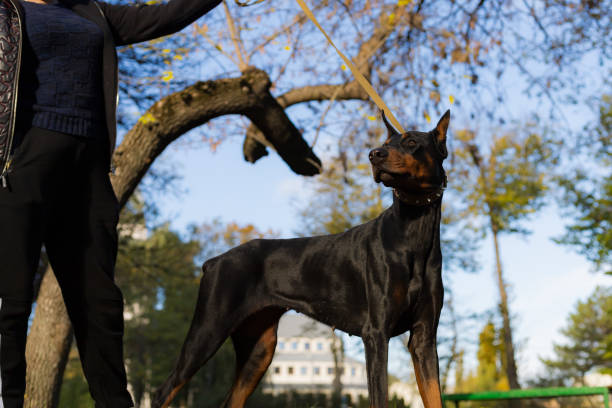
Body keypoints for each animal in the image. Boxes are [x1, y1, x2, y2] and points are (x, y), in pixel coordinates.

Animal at [153, 111, 450, 408]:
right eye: (386, 142)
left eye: (411, 142)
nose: (374, 154)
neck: (413, 231)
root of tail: (213, 261)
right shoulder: (376, 334)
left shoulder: (424, 338)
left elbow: (435, 395)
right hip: (208, 330)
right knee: (162, 391)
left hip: (259, 349)